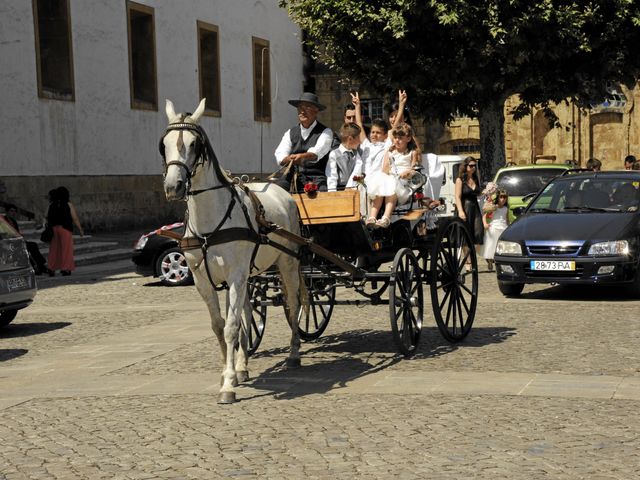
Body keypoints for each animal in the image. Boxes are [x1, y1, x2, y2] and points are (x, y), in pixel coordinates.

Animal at [159, 99, 302, 404]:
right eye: (164, 144)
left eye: (194, 144)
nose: (173, 186)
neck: (209, 223)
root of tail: (281, 190)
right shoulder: (204, 280)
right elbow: (219, 325)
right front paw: (232, 373)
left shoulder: (235, 275)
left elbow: (231, 326)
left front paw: (227, 384)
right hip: (248, 274)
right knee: (248, 312)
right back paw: (243, 364)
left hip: (287, 261)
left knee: (293, 304)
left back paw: (294, 353)